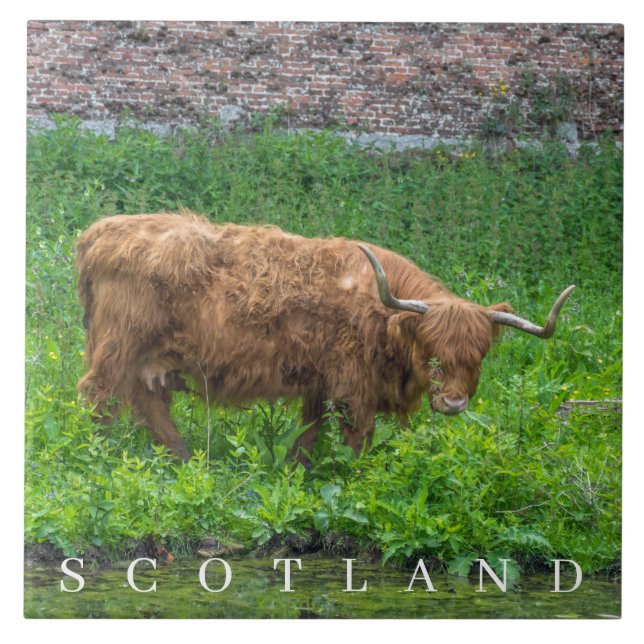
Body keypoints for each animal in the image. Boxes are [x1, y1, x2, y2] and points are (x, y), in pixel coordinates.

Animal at [75, 212, 575, 463]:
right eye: (432, 352)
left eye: (479, 354)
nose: (453, 403)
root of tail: (99, 232)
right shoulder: (353, 385)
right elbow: (359, 439)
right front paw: (359, 480)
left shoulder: (319, 383)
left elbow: (307, 436)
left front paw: (295, 472)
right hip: (118, 346)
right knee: (98, 395)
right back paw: (98, 457)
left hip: (149, 360)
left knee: (148, 405)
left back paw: (186, 459)